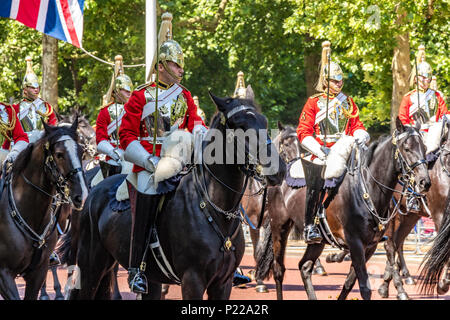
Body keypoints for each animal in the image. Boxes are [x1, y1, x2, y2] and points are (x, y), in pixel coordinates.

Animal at [65, 90, 286, 300]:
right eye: (239, 125)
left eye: (264, 122)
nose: (279, 169)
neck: (215, 208)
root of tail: (94, 191)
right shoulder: (193, 280)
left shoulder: (223, 283)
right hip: (91, 267)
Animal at [255, 118, 430, 300]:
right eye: (407, 148)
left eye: (424, 148)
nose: (424, 182)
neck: (365, 189)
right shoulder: (355, 243)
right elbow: (364, 288)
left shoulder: (369, 247)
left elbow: (349, 282)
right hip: (280, 227)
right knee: (278, 269)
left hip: (318, 241)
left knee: (304, 266)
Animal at [378, 118, 448, 300]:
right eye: (407, 148)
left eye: (424, 148)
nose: (424, 182)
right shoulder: (439, 215)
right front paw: (443, 283)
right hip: (392, 215)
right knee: (390, 244)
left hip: (410, 217)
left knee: (397, 242)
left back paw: (388, 283)